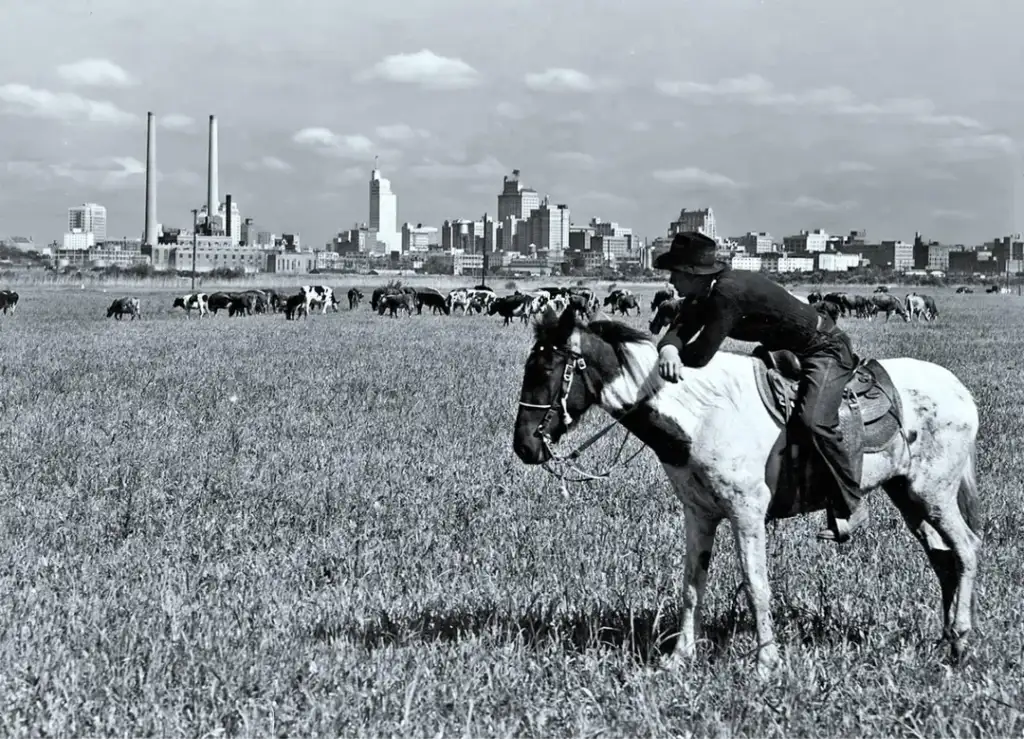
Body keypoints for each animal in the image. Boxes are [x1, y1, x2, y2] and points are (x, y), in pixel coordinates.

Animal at [512, 302, 983, 675]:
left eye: (547, 369)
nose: (524, 445)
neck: (702, 414)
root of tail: (960, 391)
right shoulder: (699, 514)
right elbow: (691, 585)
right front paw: (679, 657)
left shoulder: (747, 513)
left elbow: (756, 585)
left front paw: (766, 662)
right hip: (908, 495)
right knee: (943, 559)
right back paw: (946, 641)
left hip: (934, 494)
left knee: (966, 549)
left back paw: (961, 640)